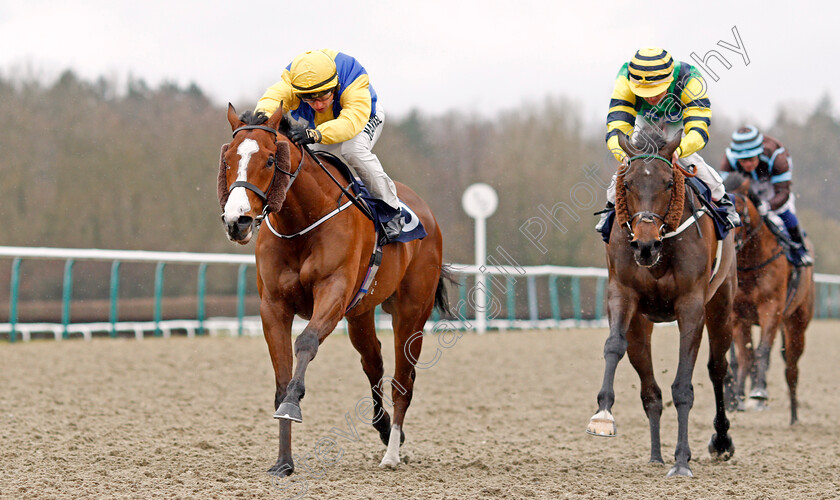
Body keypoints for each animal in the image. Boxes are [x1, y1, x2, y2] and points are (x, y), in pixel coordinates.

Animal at [220, 103, 450, 474]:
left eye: (269, 159)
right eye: (228, 160)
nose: (236, 221)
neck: (300, 224)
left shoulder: (333, 293)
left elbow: (306, 342)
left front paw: (292, 405)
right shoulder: (273, 306)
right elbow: (281, 378)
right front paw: (283, 462)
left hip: (412, 312)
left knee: (404, 380)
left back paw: (392, 454)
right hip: (361, 314)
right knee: (374, 363)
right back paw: (385, 429)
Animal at [588, 127, 740, 478]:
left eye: (669, 183)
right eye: (628, 183)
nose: (645, 245)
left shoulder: (691, 306)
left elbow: (684, 385)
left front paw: (681, 460)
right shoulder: (622, 293)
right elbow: (613, 346)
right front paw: (603, 414)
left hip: (721, 307)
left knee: (717, 369)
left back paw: (720, 441)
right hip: (641, 325)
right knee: (650, 392)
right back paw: (656, 456)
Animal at [720, 172, 812, 422]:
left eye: (738, 212)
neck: (750, 263)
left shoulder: (771, 307)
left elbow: (762, 351)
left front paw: (759, 392)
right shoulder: (738, 315)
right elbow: (745, 356)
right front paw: (738, 397)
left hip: (796, 322)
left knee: (791, 367)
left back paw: (794, 416)